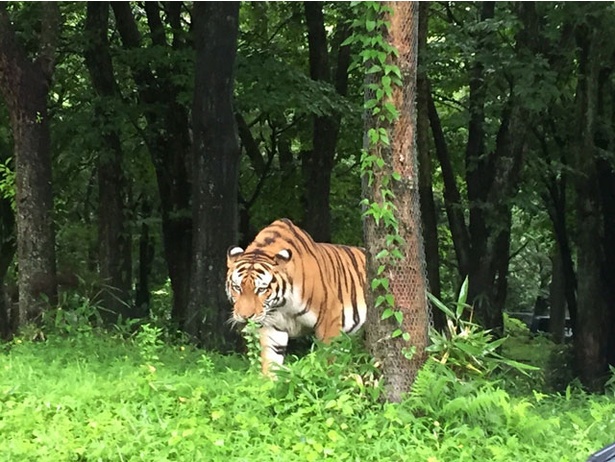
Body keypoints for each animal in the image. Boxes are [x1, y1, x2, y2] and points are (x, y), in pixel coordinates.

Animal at [227, 218, 368, 374]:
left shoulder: (330, 318)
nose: (245, 316)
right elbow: (271, 364)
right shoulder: (272, 327)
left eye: (261, 289)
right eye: (237, 287)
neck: (282, 304)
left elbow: (329, 359)